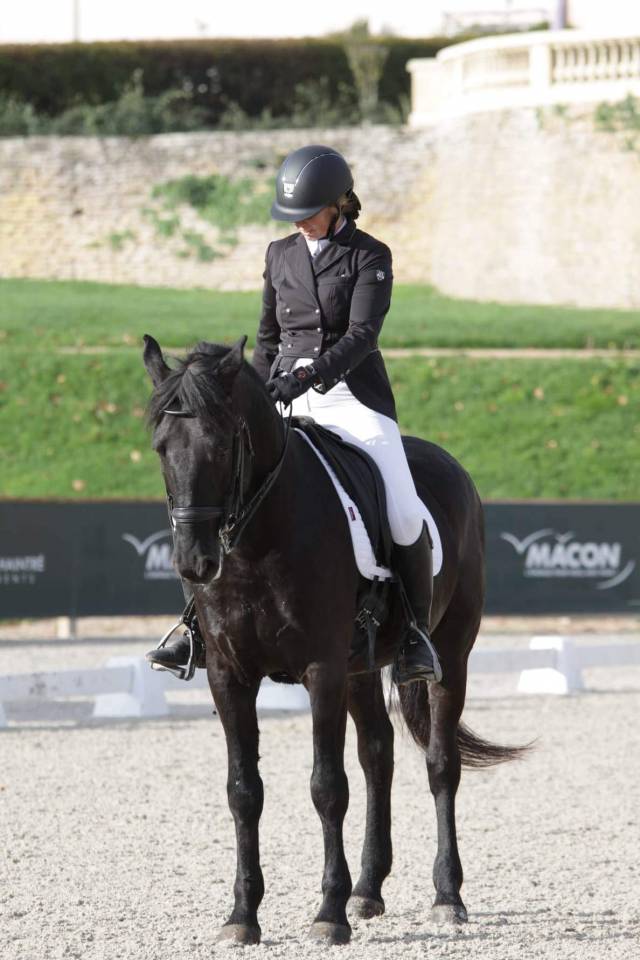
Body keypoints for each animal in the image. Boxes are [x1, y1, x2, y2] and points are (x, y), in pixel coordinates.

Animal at [143, 334, 525, 946]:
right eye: (160, 447)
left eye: (222, 445)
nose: (194, 563)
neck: (262, 538)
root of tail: (451, 466)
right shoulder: (229, 675)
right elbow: (243, 790)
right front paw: (242, 915)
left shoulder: (321, 671)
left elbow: (327, 786)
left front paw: (329, 913)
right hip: (361, 668)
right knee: (378, 755)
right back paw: (369, 889)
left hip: (451, 655)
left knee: (440, 764)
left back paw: (446, 896)